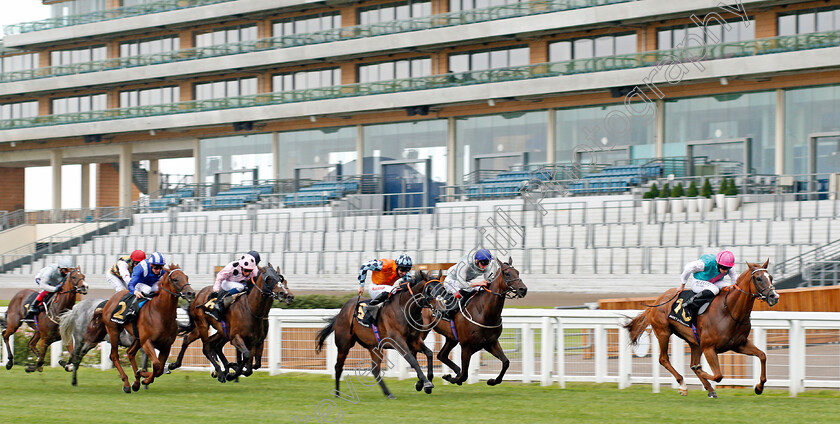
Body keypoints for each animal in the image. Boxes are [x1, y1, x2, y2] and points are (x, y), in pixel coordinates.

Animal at [101, 264, 194, 394]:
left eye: (186, 277)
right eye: (175, 279)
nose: (191, 293)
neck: (161, 313)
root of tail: (111, 299)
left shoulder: (166, 345)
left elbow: (159, 369)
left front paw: (142, 376)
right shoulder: (147, 342)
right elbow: (156, 364)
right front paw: (145, 378)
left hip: (137, 337)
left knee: (130, 353)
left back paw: (136, 382)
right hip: (113, 330)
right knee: (114, 356)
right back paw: (127, 384)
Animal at [166, 264, 294, 380]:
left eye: (280, 278)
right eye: (269, 278)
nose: (285, 294)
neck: (252, 310)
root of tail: (198, 295)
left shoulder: (256, 340)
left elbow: (253, 364)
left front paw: (234, 368)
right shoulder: (235, 337)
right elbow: (246, 356)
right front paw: (233, 373)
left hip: (213, 329)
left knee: (196, 340)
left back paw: (175, 364)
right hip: (203, 325)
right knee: (206, 347)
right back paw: (220, 373)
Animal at [424, 256, 528, 386]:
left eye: (518, 272)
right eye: (507, 273)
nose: (523, 289)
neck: (484, 313)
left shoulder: (491, 343)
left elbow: (506, 362)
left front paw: (493, 381)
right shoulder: (466, 346)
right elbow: (464, 375)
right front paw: (452, 378)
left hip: (451, 338)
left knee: (441, 355)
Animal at [624, 258, 780, 398]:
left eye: (771, 277)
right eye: (758, 278)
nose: (774, 296)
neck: (729, 310)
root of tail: (657, 300)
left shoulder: (739, 344)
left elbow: (762, 355)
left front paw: (759, 387)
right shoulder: (709, 348)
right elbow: (718, 375)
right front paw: (700, 372)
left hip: (695, 342)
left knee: (691, 362)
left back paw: (709, 388)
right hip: (663, 332)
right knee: (664, 359)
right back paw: (683, 385)